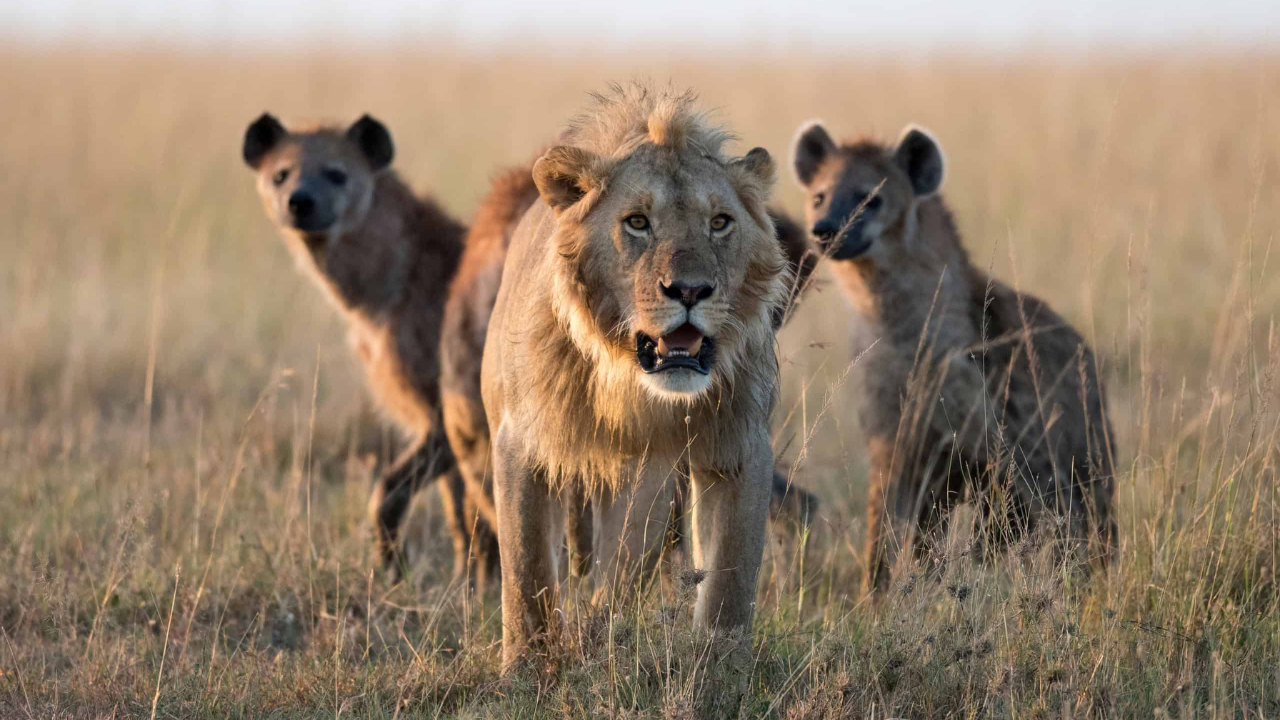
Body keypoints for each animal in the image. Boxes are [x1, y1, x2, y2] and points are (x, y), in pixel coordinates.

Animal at [480, 85, 790, 669]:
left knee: (618, 578)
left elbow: (730, 581)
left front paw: (722, 670)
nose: (690, 290)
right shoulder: (520, 441)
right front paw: (526, 669)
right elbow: (526, 571)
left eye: (720, 222)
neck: (632, 386)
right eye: (638, 222)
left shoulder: (737, 445)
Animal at [790, 121, 1117, 596]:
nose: (824, 229)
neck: (905, 336)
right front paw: (875, 599)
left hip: (1086, 458)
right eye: (819, 195)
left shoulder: (1007, 450)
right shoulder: (894, 442)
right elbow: (885, 533)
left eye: (871, 198)